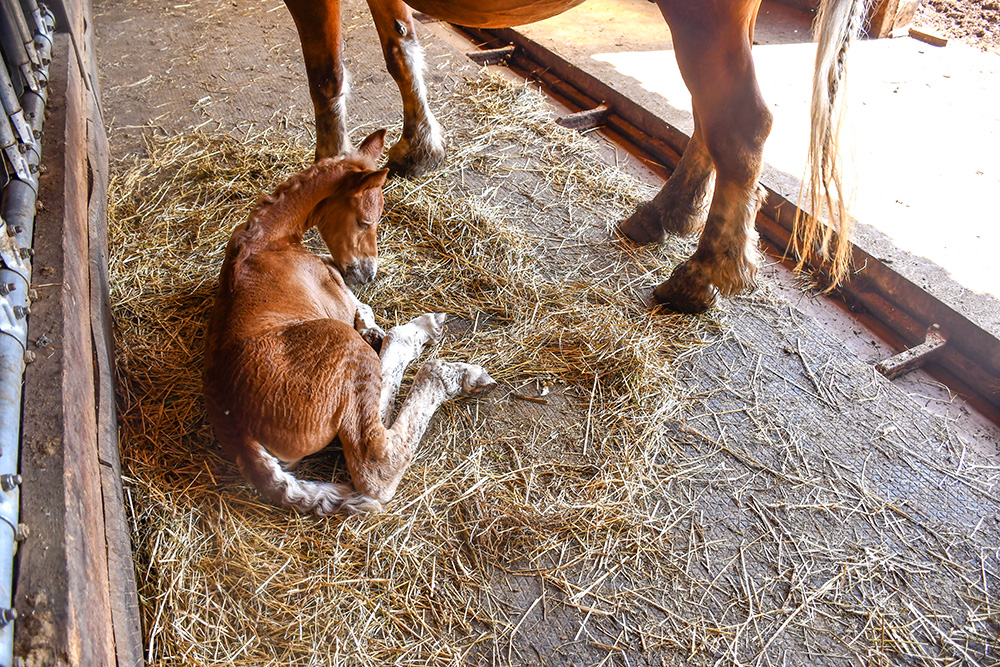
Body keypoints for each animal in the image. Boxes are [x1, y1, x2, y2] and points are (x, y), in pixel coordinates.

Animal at [284, 0, 868, 314]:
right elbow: (399, 45)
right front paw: (420, 147)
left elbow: (326, 76)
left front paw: (328, 186)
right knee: (710, 116)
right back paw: (665, 215)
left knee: (741, 124)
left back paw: (703, 276)